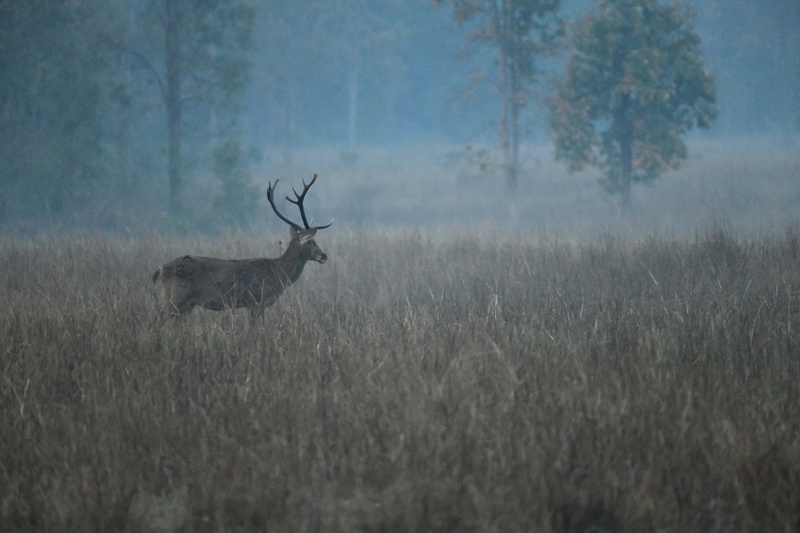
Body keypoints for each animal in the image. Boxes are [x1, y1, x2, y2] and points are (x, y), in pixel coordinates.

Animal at [152, 174, 332, 318]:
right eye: (312, 242)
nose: (324, 256)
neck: (278, 273)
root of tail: (161, 269)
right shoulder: (257, 301)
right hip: (177, 297)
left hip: (185, 303)